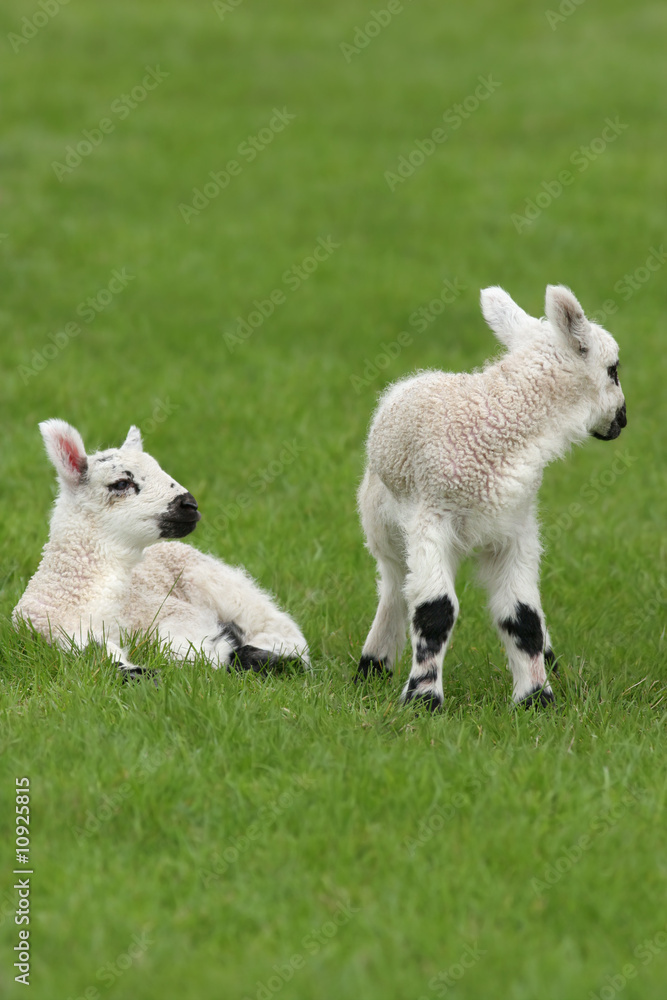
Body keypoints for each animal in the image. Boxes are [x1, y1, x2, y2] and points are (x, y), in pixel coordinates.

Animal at [13, 419, 309, 677]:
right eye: (122, 483)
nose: (190, 505)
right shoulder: (59, 636)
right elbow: (112, 664)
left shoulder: (174, 613)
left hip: (218, 582)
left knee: (280, 628)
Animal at [356, 284, 626, 710]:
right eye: (614, 369)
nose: (622, 421)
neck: (501, 420)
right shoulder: (430, 517)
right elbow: (435, 610)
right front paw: (423, 698)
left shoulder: (515, 529)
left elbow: (523, 616)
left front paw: (536, 698)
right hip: (382, 523)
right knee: (395, 588)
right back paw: (373, 664)